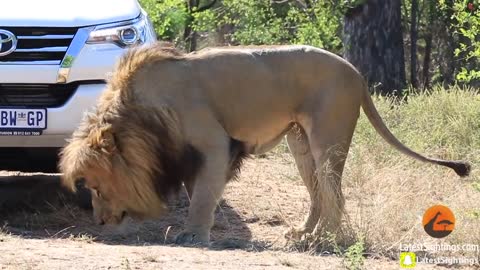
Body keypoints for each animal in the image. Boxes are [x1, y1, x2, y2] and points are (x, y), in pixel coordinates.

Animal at [58, 43, 470, 245]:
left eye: (96, 187)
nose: (98, 221)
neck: (140, 114)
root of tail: (355, 71)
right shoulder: (192, 154)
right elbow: (196, 191)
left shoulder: (214, 142)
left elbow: (203, 195)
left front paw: (194, 234)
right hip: (299, 142)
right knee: (319, 193)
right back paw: (304, 233)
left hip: (327, 138)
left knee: (335, 194)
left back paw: (323, 241)